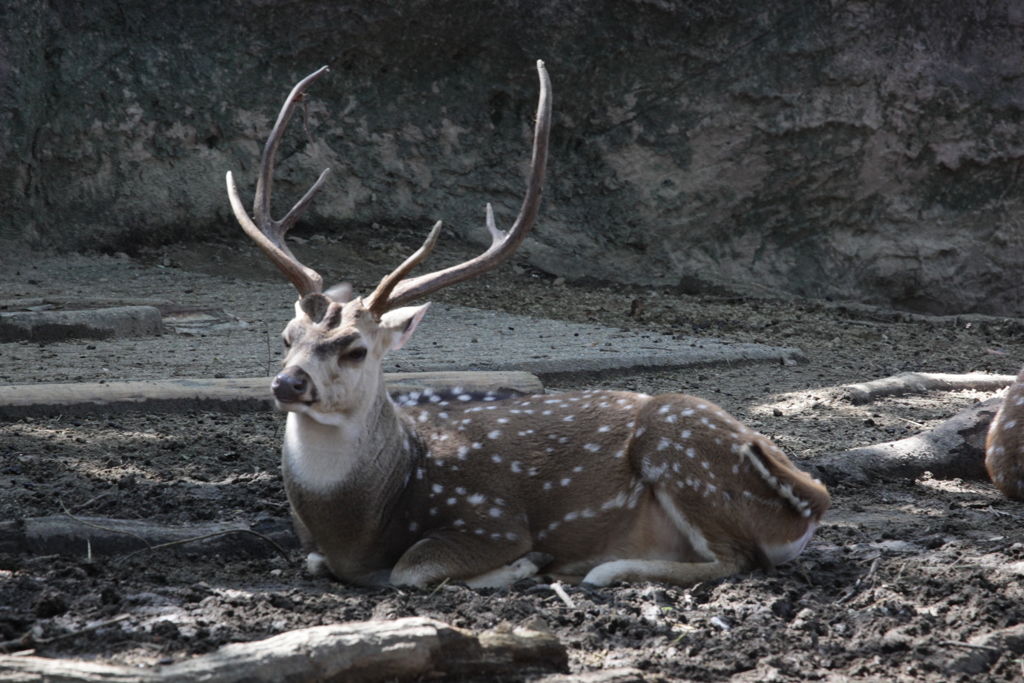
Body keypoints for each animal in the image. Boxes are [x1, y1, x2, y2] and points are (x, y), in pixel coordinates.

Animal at [226, 61, 831, 589]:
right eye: (287, 338)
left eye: (355, 348)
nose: (287, 383)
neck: (360, 524)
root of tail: (813, 501)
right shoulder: (322, 550)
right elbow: (314, 562)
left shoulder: (490, 518)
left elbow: (411, 569)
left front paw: (524, 566)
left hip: (679, 445)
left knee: (737, 559)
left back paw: (602, 570)